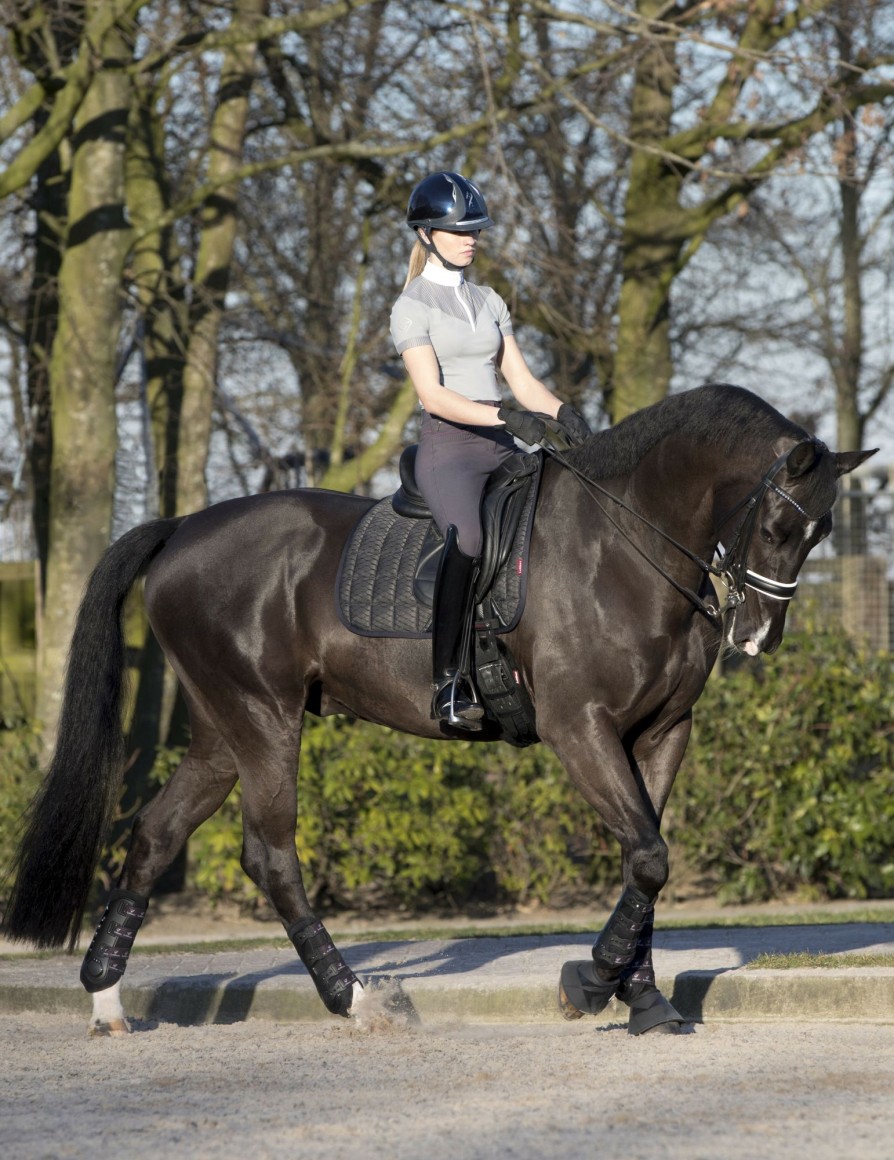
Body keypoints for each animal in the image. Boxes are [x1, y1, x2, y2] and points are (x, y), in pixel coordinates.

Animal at [0, 385, 871, 1039]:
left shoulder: (660, 733)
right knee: (271, 857)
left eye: (821, 531)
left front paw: (646, 1000)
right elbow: (648, 857)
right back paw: (354, 999)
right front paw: (588, 982)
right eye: (780, 523)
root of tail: (182, 528)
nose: (757, 637)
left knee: (155, 836)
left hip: (222, 733)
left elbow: (647, 863)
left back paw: (106, 1000)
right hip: (264, 719)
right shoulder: (579, 728)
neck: (625, 542)